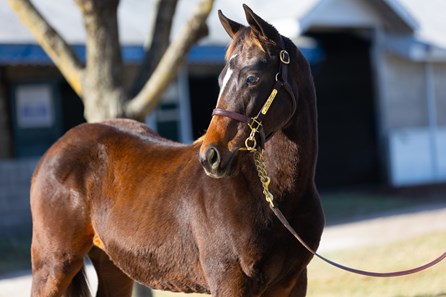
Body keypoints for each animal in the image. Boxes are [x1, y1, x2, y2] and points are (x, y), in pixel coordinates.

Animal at [30, 4, 324, 296]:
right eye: (221, 78)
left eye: (252, 77)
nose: (211, 156)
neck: (274, 196)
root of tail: (52, 153)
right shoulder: (230, 282)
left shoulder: (295, 282)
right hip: (53, 265)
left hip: (113, 266)